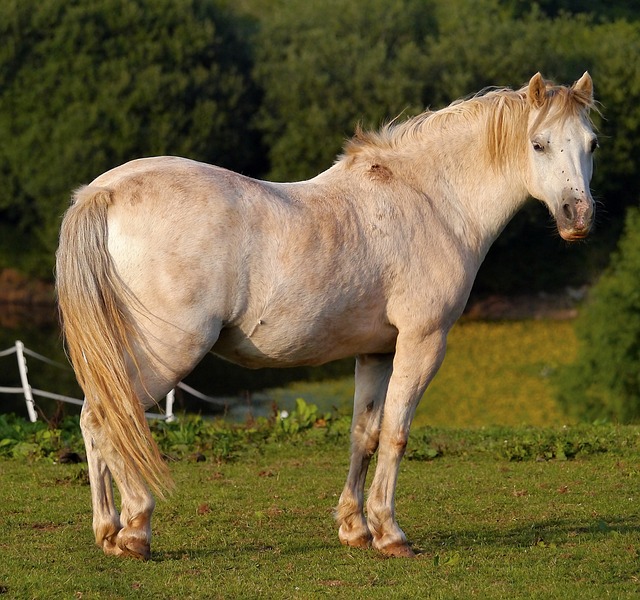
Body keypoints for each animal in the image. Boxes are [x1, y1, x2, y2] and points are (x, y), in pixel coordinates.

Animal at [56, 72, 600, 560]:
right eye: (539, 144)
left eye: (591, 144)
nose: (578, 217)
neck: (431, 200)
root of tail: (103, 193)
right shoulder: (422, 342)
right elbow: (397, 433)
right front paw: (391, 534)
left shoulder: (376, 351)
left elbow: (365, 434)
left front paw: (356, 529)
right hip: (168, 352)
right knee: (109, 417)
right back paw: (134, 530)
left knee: (91, 419)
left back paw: (108, 531)